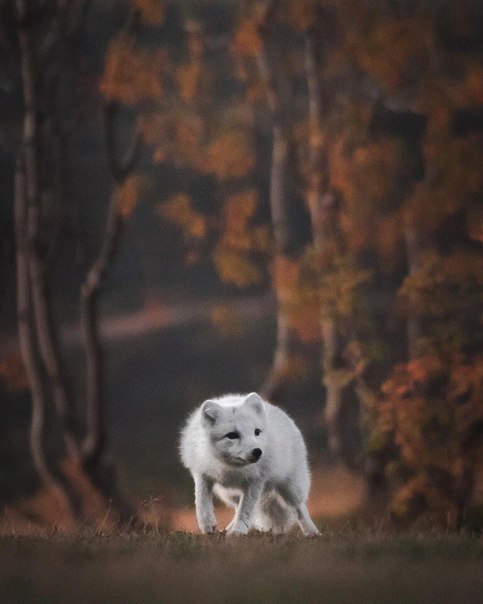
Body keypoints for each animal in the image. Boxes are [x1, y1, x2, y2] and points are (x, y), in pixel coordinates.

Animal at [180, 394, 320, 536]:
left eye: (257, 432)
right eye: (232, 435)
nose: (258, 451)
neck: (231, 467)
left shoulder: (255, 482)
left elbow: (245, 511)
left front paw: (238, 532)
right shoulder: (202, 475)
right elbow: (201, 503)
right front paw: (207, 527)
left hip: (292, 489)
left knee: (300, 508)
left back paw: (312, 532)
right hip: (229, 495)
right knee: (241, 510)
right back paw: (227, 530)